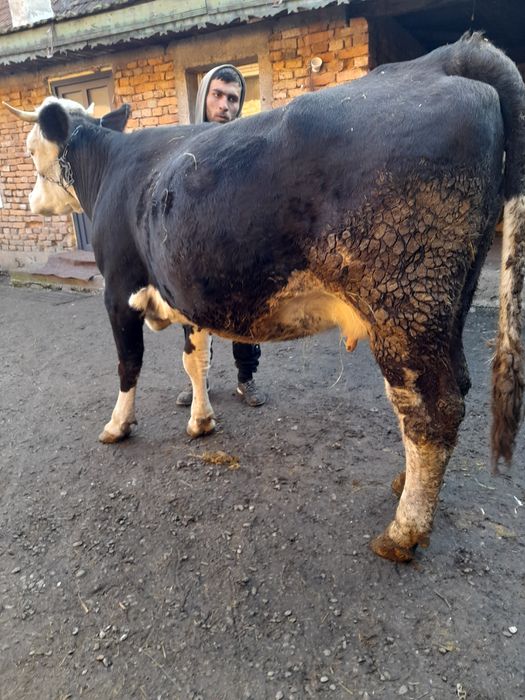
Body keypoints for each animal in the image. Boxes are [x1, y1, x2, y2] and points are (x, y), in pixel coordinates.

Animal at [5, 33, 524, 562]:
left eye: (30, 148)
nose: (30, 202)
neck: (111, 169)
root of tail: (443, 59)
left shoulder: (118, 290)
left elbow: (128, 365)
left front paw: (118, 426)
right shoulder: (187, 290)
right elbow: (196, 360)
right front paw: (201, 421)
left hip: (404, 300)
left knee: (432, 408)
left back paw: (404, 529)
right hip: (448, 301)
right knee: (452, 388)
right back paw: (405, 486)